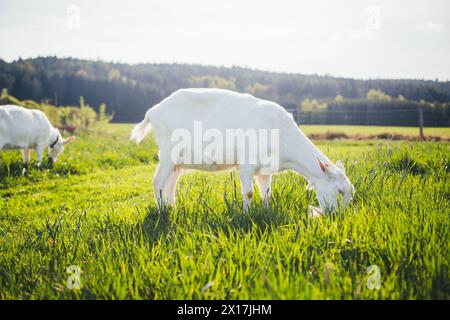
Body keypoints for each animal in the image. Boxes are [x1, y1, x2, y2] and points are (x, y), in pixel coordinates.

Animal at [130, 87, 356, 214]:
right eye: (340, 190)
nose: (340, 217)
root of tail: (153, 111)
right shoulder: (247, 164)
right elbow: (248, 192)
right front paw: (246, 214)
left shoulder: (266, 169)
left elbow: (267, 194)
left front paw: (265, 212)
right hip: (167, 152)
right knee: (157, 181)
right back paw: (161, 211)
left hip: (178, 160)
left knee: (169, 184)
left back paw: (172, 208)